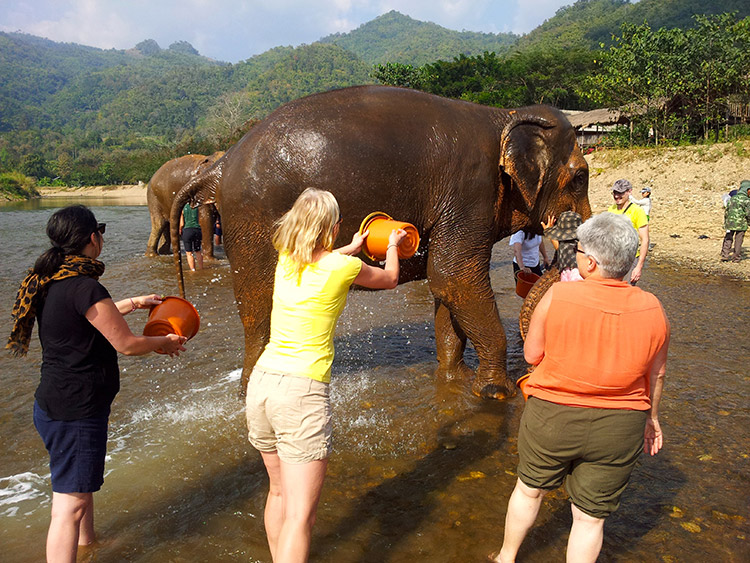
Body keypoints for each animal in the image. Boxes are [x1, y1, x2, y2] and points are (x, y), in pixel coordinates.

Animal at [170, 83, 592, 400]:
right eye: (581, 178)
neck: (504, 115)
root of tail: (220, 165)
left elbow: (446, 288)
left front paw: (453, 380)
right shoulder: (470, 191)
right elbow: (454, 277)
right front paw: (496, 393)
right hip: (252, 222)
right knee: (259, 306)